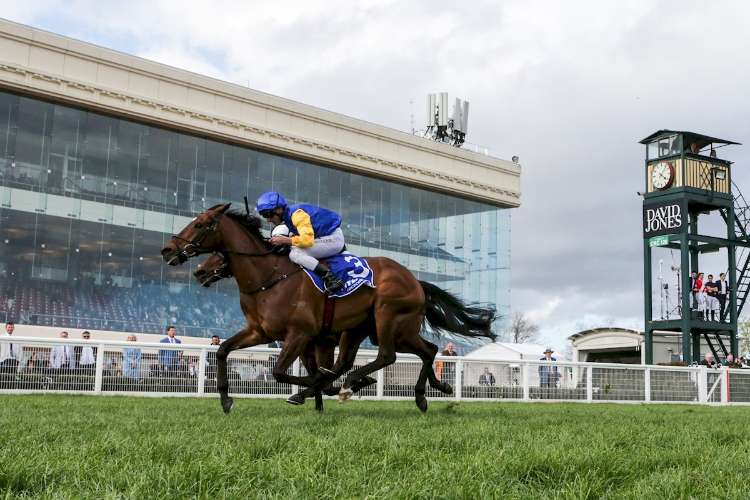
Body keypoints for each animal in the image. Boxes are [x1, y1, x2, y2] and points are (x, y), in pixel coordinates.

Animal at [162, 203, 496, 414]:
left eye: (200, 225)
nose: (168, 250)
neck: (269, 278)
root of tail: (415, 280)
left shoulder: (300, 334)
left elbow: (283, 372)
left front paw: (315, 391)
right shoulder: (262, 332)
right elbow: (222, 351)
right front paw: (226, 401)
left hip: (388, 317)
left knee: (387, 356)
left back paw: (355, 383)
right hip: (375, 330)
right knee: (427, 350)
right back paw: (429, 392)